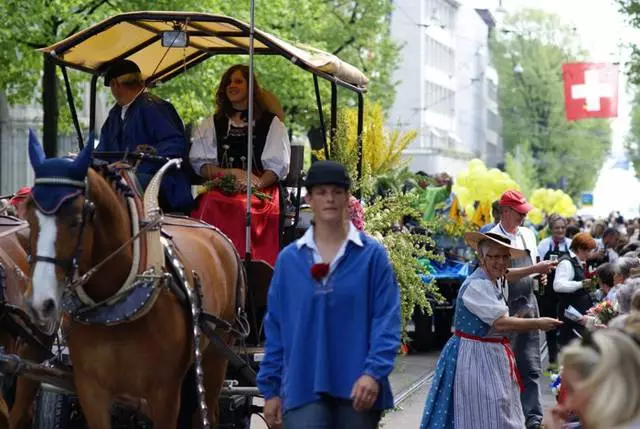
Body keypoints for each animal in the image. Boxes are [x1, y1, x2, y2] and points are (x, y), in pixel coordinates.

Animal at [24, 136, 242, 424]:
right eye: (28, 217)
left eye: (77, 219)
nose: (40, 304)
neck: (114, 303)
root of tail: (217, 234)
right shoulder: (90, 389)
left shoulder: (165, 394)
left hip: (216, 355)